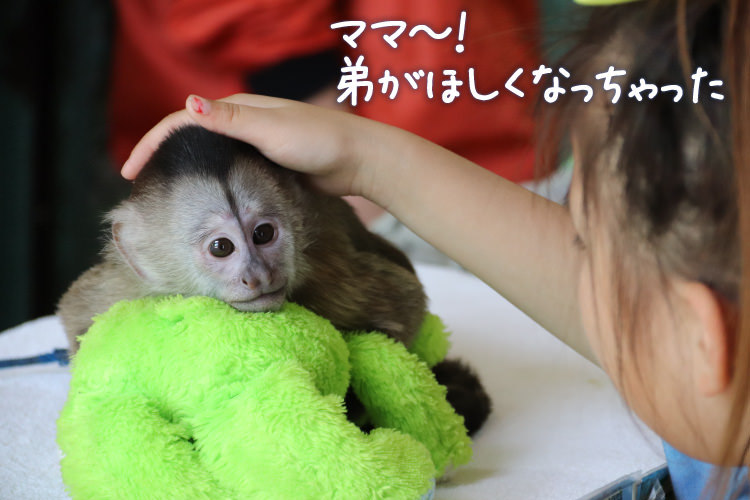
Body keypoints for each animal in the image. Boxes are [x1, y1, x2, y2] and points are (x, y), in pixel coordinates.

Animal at [58, 125, 494, 434]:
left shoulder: (326, 269)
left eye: (263, 234)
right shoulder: (130, 286)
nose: (258, 275)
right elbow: (77, 316)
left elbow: (402, 306)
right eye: (221, 247)